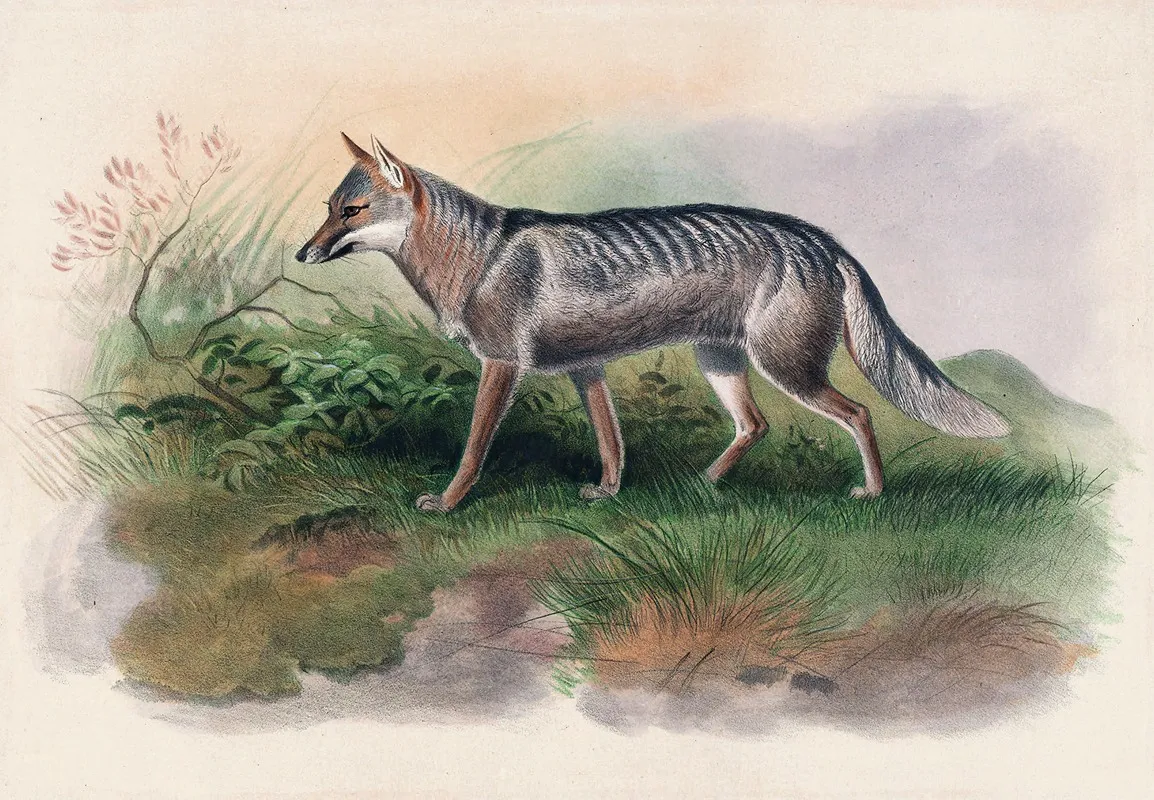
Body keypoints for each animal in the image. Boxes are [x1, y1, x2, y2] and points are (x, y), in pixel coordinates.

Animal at [296, 133, 1010, 513]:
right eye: (329, 208)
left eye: (352, 211)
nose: (301, 253)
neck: (477, 256)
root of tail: (822, 239)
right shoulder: (587, 369)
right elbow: (611, 441)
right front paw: (608, 493)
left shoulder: (501, 365)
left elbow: (473, 448)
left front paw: (446, 504)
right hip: (722, 364)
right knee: (755, 425)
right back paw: (704, 485)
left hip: (787, 370)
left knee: (858, 413)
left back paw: (873, 492)